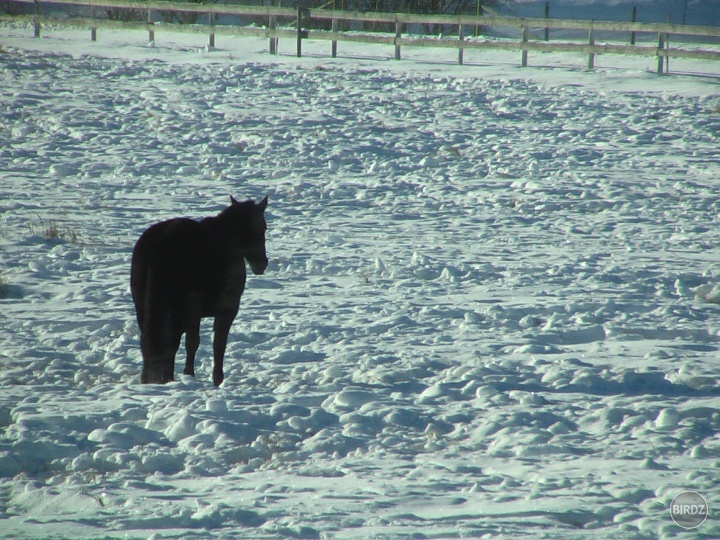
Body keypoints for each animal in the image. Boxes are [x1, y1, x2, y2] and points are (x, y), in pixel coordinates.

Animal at [129, 196, 268, 386]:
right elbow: (215, 343)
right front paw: (215, 378)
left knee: (152, 341)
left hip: (144, 306)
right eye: (264, 227)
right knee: (170, 342)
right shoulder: (226, 309)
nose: (263, 263)